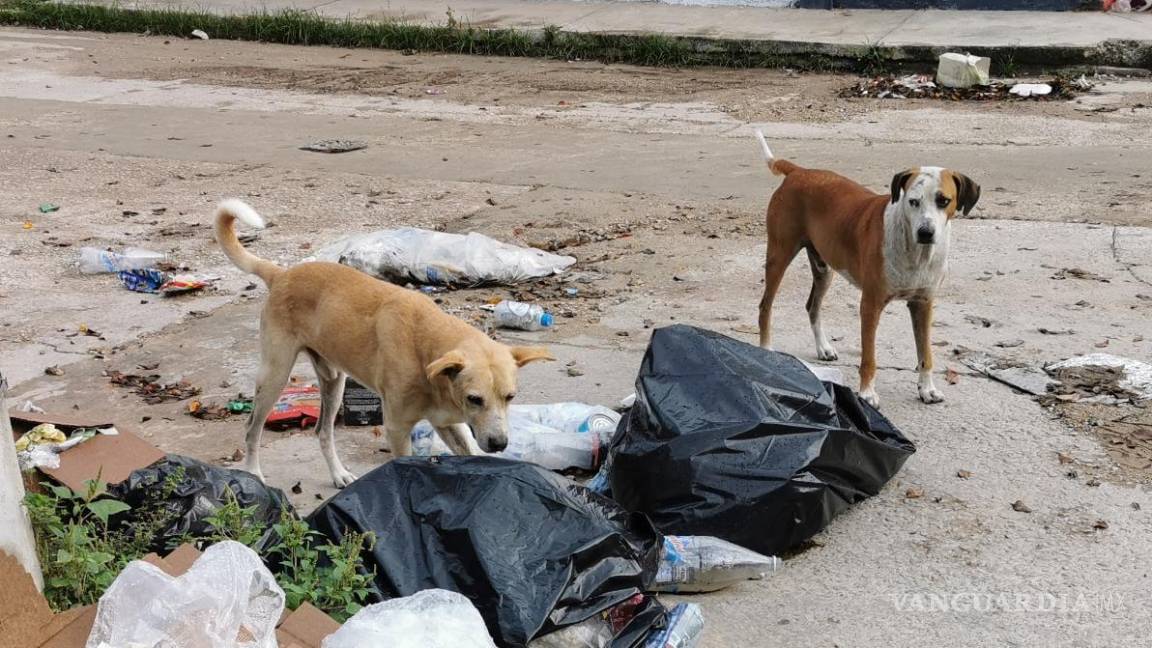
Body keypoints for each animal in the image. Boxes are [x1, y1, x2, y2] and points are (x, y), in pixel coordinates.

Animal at [216, 199, 557, 486]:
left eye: (510, 397)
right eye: (475, 399)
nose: (500, 444)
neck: (427, 349)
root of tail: (281, 274)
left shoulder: (448, 424)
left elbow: (467, 452)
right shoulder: (397, 429)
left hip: (334, 380)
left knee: (322, 431)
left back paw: (338, 474)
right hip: (275, 375)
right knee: (252, 429)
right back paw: (253, 474)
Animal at [755, 128, 981, 405]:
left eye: (944, 200)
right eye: (913, 201)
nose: (926, 232)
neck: (915, 253)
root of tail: (799, 171)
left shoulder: (923, 304)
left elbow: (926, 353)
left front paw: (927, 389)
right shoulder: (870, 305)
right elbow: (869, 357)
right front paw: (866, 393)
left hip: (824, 268)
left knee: (812, 306)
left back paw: (823, 347)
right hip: (779, 255)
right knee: (765, 306)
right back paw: (766, 351)